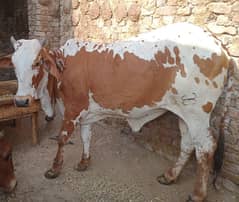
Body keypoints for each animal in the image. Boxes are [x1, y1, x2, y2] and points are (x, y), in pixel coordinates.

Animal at [5, 22, 237, 201]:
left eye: (37, 62)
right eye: (14, 65)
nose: (21, 101)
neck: (64, 68)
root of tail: (218, 44)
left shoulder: (73, 109)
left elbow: (62, 139)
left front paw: (54, 169)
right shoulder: (86, 114)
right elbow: (86, 136)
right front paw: (84, 162)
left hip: (198, 114)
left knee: (205, 148)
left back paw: (198, 193)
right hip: (184, 113)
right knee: (188, 144)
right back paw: (170, 176)